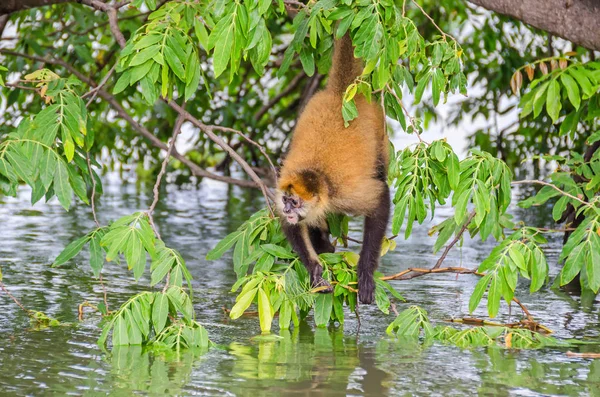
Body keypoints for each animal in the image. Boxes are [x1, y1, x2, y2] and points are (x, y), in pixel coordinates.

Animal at [276, 33, 390, 304]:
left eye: (295, 202)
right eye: (285, 200)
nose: (287, 209)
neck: (318, 174)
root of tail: (341, 94)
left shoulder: (344, 193)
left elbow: (380, 198)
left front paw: (365, 271)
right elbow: (291, 225)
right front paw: (314, 268)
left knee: (381, 172)